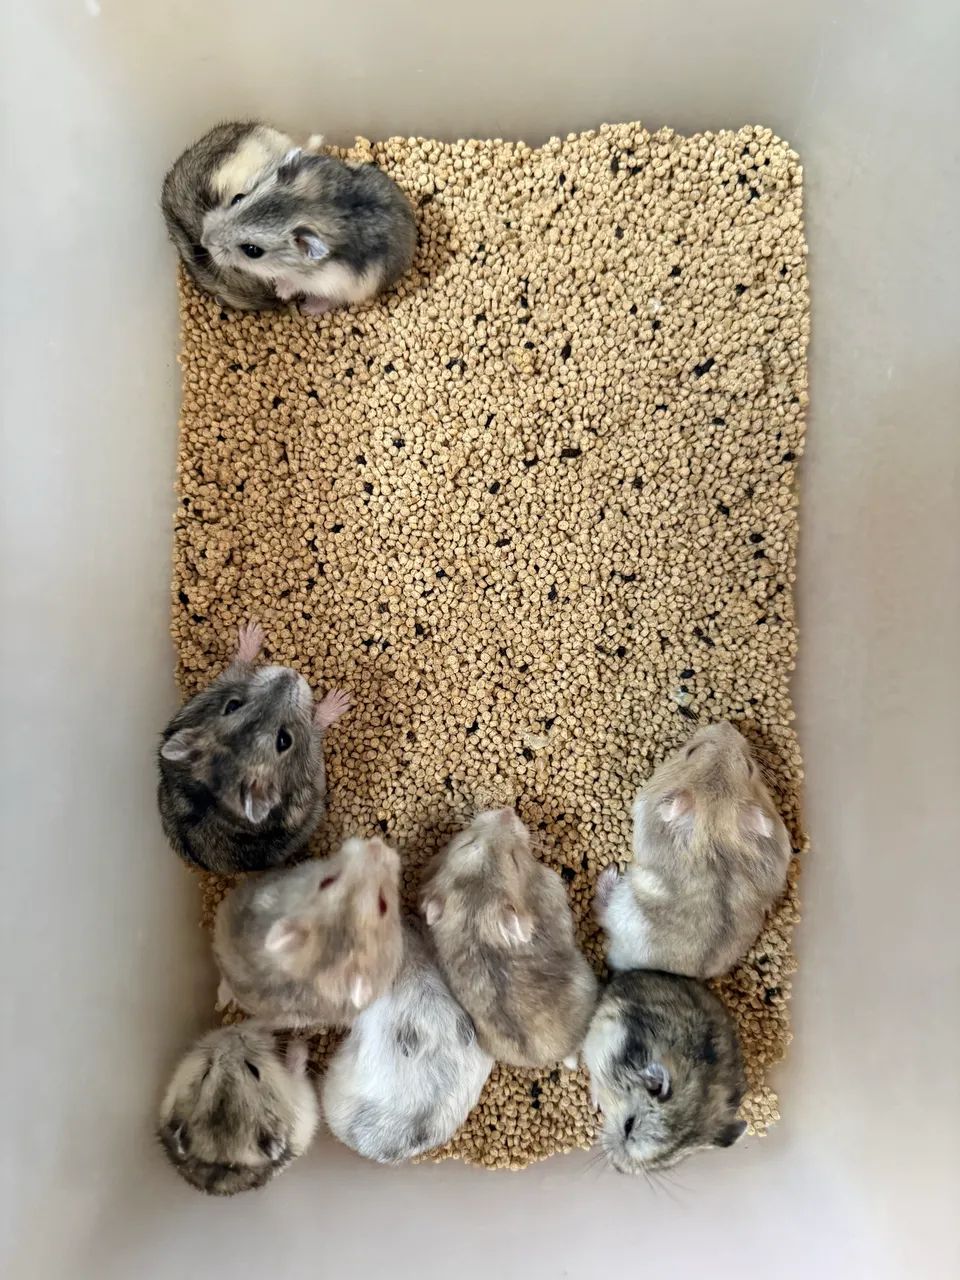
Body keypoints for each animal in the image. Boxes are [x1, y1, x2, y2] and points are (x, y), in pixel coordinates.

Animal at [156, 1025, 319, 1195]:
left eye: (206, 1073)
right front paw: (299, 1043)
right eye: (253, 1069)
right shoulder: (301, 1092)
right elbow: (295, 1067)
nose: (235, 1032)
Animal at [157, 621, 350, 875]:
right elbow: (316, 726)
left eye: (232, 705)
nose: (292, 674)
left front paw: (252, 630)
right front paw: (339, 699)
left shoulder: (218, 684)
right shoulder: (311, 762)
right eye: (284, 741)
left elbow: (236, 666)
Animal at [200, 148, 416, 315]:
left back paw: (309, 308)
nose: (203, 241)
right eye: (237, 197)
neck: (309, 210)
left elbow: (295, 283)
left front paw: (280, 291)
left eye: (252, 251)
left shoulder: (329, 280)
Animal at [421, 808, 598, 1068]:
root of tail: (558, 1056)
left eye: (466, 843)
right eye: (515, 859)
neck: (474, 918)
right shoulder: (552, 891)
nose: (507, 811)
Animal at [596, 721, 792, 979]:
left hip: (620, 905)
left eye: (690, 752)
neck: (715, 841)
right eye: (750, 768)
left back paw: (609, 873)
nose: (726, 723)